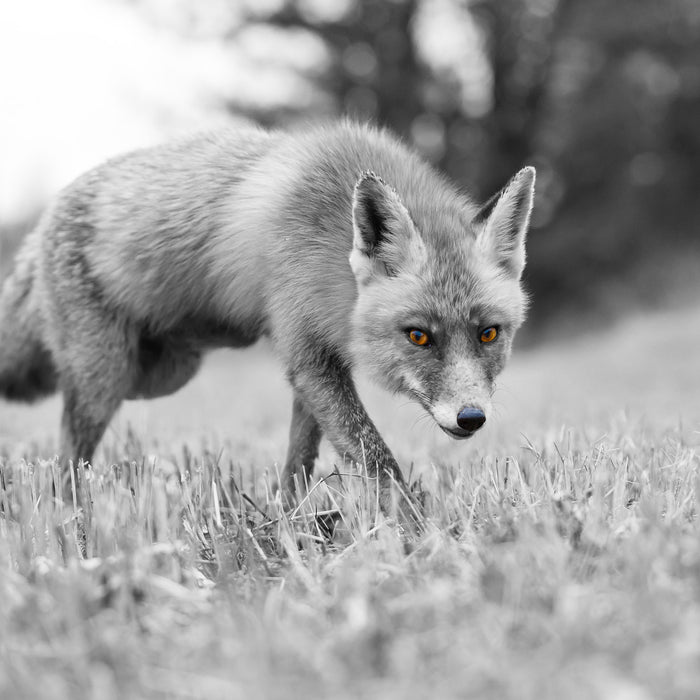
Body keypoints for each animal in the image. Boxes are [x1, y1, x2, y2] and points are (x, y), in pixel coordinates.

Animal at [0, 120, 536, 516]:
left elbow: (300, 460)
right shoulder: (306, 351)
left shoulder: (315, 362)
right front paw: (411, 530)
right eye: (419, 337)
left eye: (489, 333)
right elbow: (375, 457)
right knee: (66, 459)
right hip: (107, 379)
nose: (471, 418)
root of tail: (43, 219)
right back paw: (71, 517)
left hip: (159, 372)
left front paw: (289, 519)